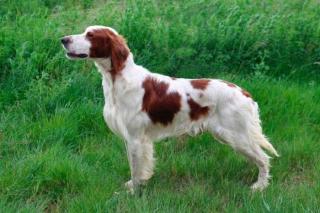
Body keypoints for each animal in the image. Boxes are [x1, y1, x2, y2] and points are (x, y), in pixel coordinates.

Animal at [61, 25, 278, 193]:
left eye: (90, 35)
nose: (63, 39)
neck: (117, 80)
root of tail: (244, 93)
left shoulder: (136, 138)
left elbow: (137, 168)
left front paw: (134, 191)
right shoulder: (131, 138)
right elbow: (134, 166)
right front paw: (133, 185)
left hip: (236, 135)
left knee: (263, 159)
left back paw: (259, 187)